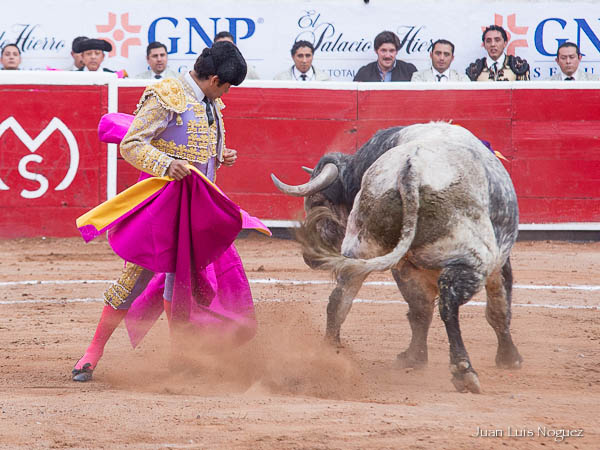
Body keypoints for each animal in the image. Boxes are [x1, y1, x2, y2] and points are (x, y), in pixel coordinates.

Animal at [272, 121, 520, 392]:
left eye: (317, 202)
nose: (310, 258)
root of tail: (410, 170)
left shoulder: (405, 266)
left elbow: (419, 310)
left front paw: (413, 358)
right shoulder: (498, 261)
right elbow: (499, 307)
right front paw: (509, 358)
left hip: (362, 249)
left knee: (341, 300)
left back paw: (330, 356)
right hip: (473, 259)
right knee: (448, 303)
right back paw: (464, 371)